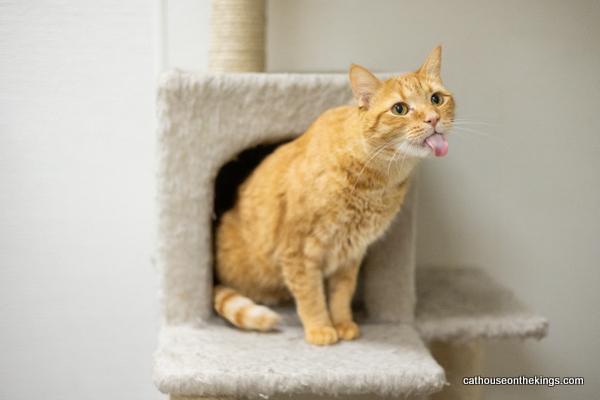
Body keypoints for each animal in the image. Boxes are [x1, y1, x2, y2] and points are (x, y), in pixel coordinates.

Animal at [213, 47, 452, 346]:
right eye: (400, 109)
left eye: (436, 99)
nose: (433, 119)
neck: (375, 183)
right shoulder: (298, 252)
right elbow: (311, 296)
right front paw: (320, 329)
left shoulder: (350, 254)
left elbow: (340, 295)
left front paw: (342, 323)